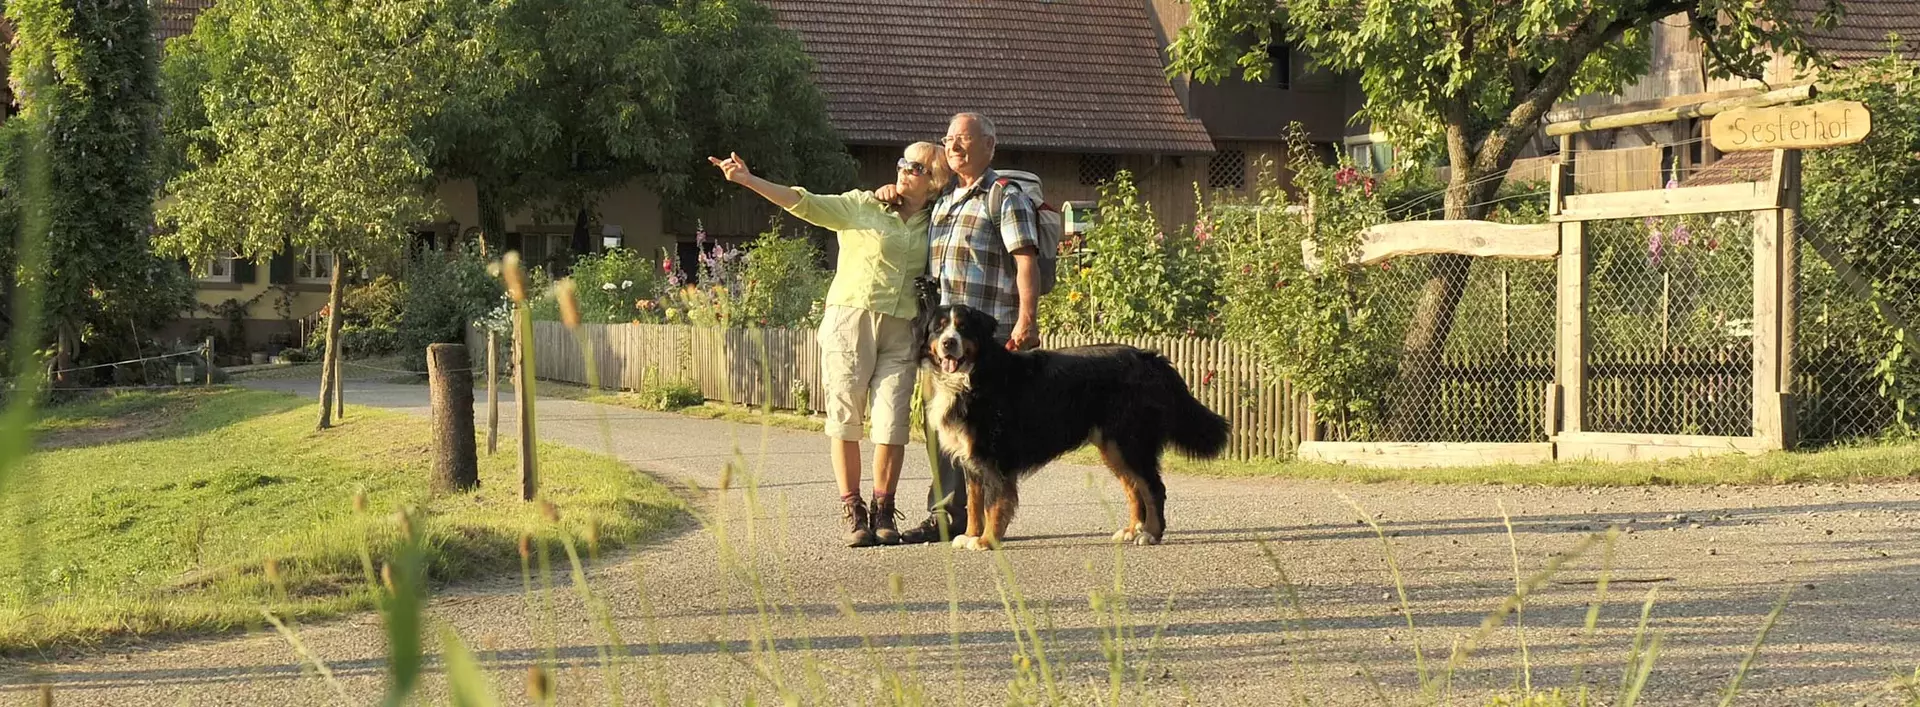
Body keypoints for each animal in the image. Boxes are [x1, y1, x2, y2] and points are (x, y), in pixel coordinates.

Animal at [917, 301, 1221, 549]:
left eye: (963, 328)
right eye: (938, 329)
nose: (949, 343)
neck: (973, 376)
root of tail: (1150, 358)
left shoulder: (993, 458)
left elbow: (994, 504)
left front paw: (986, 540)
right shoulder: (973, 460)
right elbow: (974, 501)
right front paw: (970, 535)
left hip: (1131, 442)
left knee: (1153, 488)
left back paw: (1150, 534)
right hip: (1113, 446)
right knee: (1134, 489)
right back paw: (1132, 530)